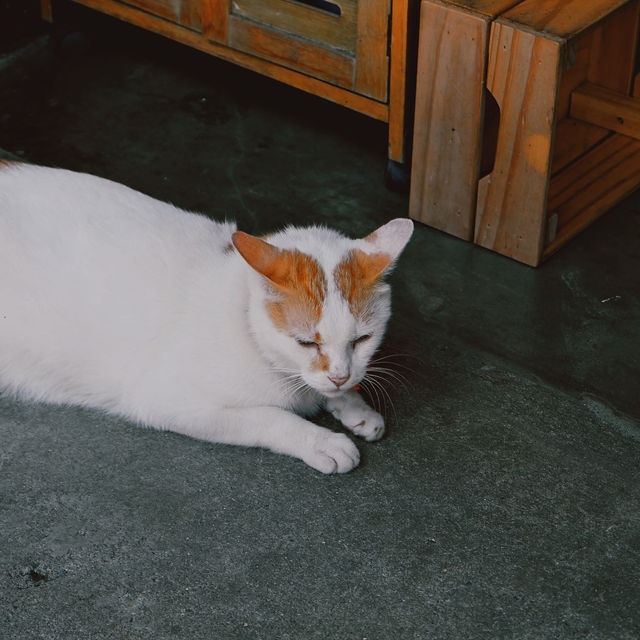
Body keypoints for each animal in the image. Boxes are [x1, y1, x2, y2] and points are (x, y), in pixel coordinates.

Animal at [0, 162, 412, 472]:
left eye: (362, 340)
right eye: (306, 342)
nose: (340, 375)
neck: (243, 317)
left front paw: (355, 407)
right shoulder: (167, 399)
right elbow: (271, 417)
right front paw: (321, 440)